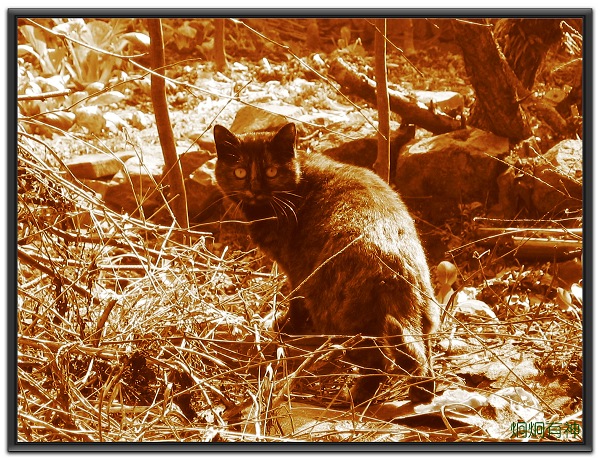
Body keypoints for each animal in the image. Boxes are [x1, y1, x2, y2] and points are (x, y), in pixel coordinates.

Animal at [213, 123, 438, 406]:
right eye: (240, 171)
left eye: (272, 171)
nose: (254, 188)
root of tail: (392, 263)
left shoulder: (297, 270)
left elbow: (295, 300)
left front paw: (287, 326)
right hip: (425, 312)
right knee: (422, 354)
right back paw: (422, 392)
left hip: (344, 321)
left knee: (378, 363)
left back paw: (353, 398)